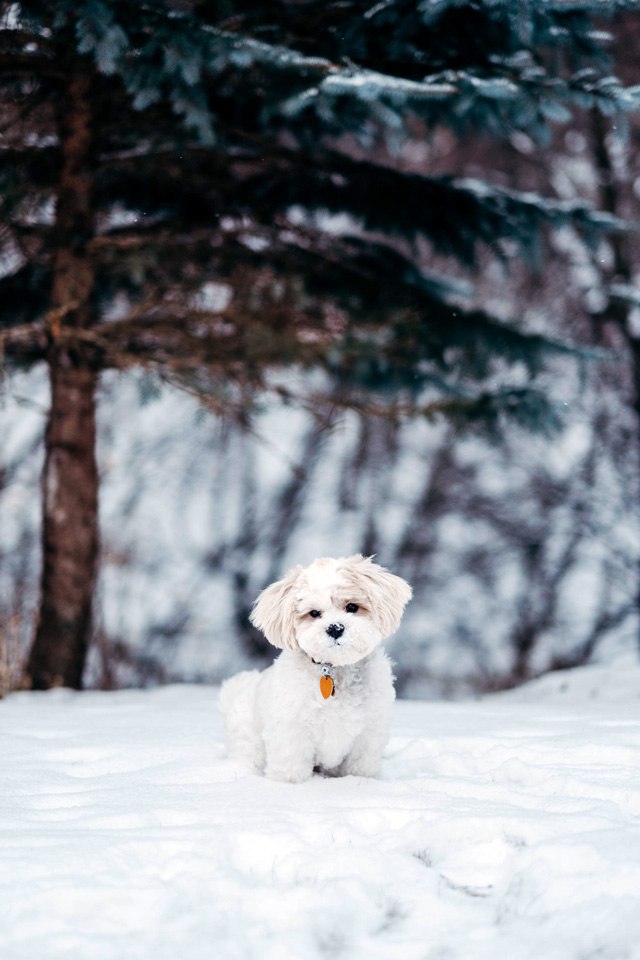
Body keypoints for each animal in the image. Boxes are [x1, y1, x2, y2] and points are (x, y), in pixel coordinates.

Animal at [219, 552, 410, 784]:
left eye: (352, 607)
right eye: (314, 613)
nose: (335, 628)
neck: (334, 669)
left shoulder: (368, 734)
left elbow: (360, 767)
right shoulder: (291, 730)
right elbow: (291, 767)